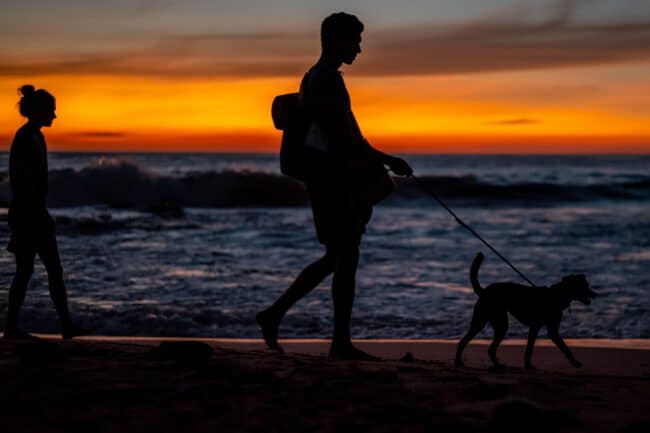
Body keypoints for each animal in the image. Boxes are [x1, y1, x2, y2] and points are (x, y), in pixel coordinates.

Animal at [454, 251, 596, 370]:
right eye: (585, 286)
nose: (595, 294)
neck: (557, 295)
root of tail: (484, 291)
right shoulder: (549, 330)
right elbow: (564, 347)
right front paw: (574, 362)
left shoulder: (537, 328)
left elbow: (530, 348)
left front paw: (528, 365)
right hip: (499, 322)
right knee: (489, 348)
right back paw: (498, 366)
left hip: (481, 322)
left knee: (464, 342)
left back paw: (462, 362)